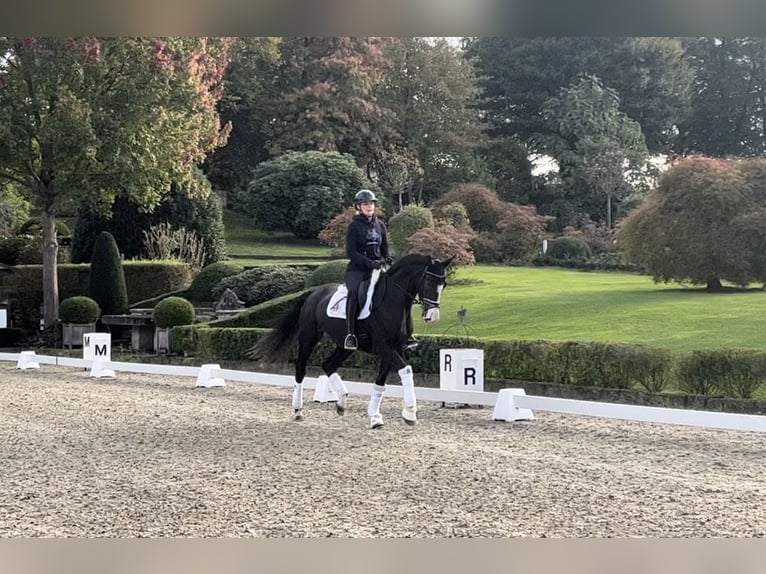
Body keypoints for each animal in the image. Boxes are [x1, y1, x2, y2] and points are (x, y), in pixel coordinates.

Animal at [252, 254, 452, 430]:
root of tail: (313, 293)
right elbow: (406, 370)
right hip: (309, 337)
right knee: (301, 368)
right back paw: (298, 410)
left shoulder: (396, 347)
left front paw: (375, 417)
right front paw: (410, 413)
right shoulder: (384, 347)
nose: (432, 316)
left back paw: (341, 402)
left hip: (345, 346)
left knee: (328, 364)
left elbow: (381, 381)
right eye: (428, 281)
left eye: (443, 284)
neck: (393, 301)